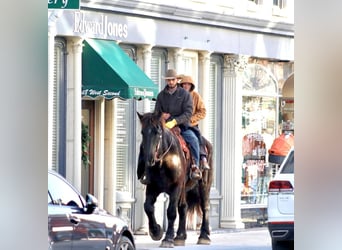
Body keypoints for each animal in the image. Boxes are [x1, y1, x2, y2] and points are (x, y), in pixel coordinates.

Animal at [137, 112, 212, 248]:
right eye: (142, 132)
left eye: (158, 131)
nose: (149, 159)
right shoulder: (152, 187)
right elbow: (148, 207)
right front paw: (156, 231)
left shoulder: (175, 187)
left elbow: (171, 212)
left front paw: (167, 239)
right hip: (184, 189)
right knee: (183, 207)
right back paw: (180, 236)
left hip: (204, 185)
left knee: (205, 207)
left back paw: (204, 236)